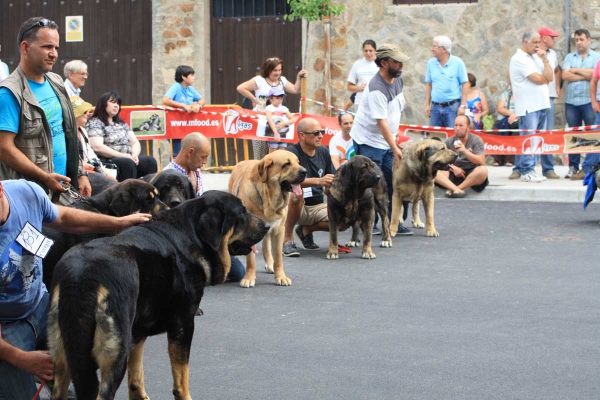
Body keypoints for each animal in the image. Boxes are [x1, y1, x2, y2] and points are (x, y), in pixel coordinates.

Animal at [48, 191, 268, 400]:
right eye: (241, 212)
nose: (267, 225)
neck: (192, 235)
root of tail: (82, 275)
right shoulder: (183, 325)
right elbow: (181, 377)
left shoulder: (137, 332)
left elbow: (136, 376)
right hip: (114, 351)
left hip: (63, 354)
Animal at [229, 151, 308, 288]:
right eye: (286, 164)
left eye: (298, 162)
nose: (305, 171)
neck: (268, 199)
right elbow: (251, 260)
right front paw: (249, 278)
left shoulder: (279, 230)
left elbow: (278, 258)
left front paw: (281, 277)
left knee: (266, 244)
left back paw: (270, 264)